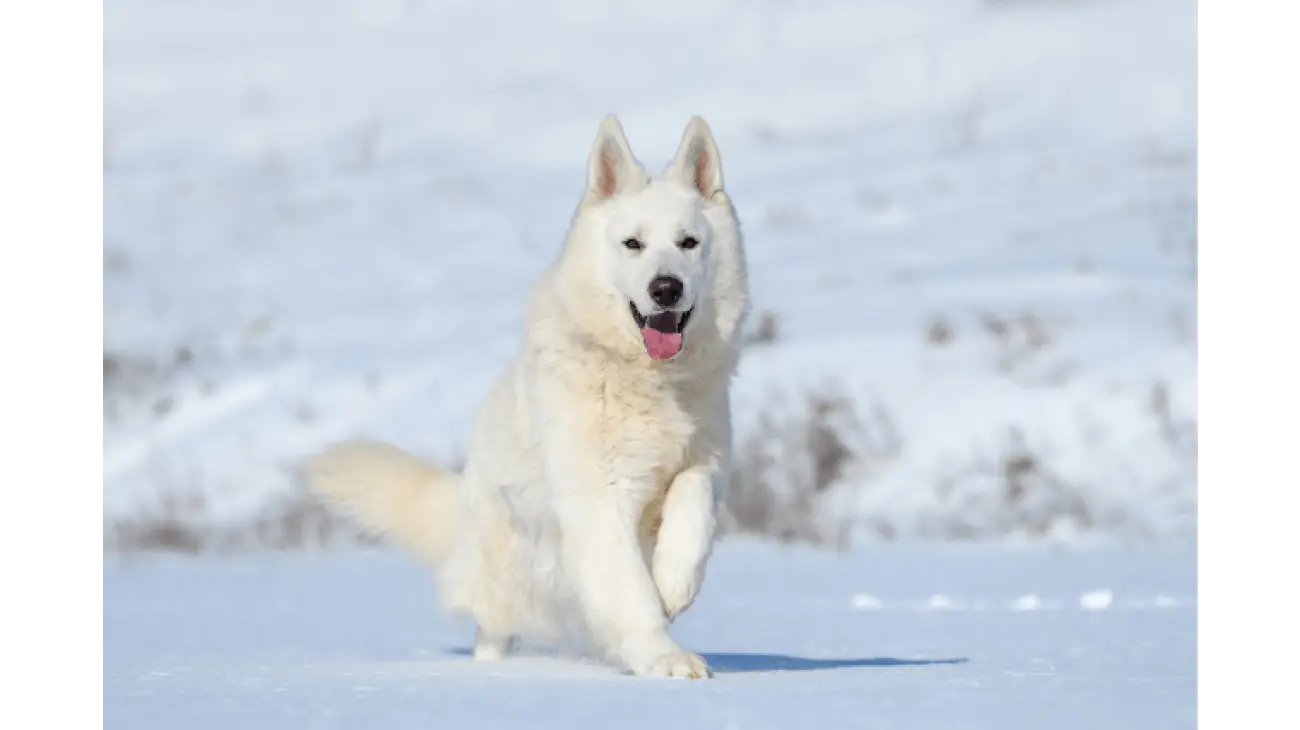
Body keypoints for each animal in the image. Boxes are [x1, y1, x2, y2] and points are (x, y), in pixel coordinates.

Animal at [306, 113, 754, 675]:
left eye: (689, 242)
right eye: (633, 244)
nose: (666, 288)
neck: (648, 379)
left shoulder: (706, 461)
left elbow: (691, 505)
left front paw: (675, 583)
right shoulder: (599, 501)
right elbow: (631, 594)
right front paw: (665, 659)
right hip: (504, 583)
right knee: (492, 632)